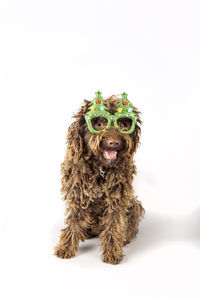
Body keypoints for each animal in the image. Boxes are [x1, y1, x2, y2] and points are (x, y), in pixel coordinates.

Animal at [54, 90, 144, 264]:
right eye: (98, 123)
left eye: (123, 123)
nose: (114, 142)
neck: (101, 168)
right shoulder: (77, 194)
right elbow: (74, 221)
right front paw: (66, 247)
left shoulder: (117, 198)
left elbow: (113, 224)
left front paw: (112, 252)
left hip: (134, 205)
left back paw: (124, 238)